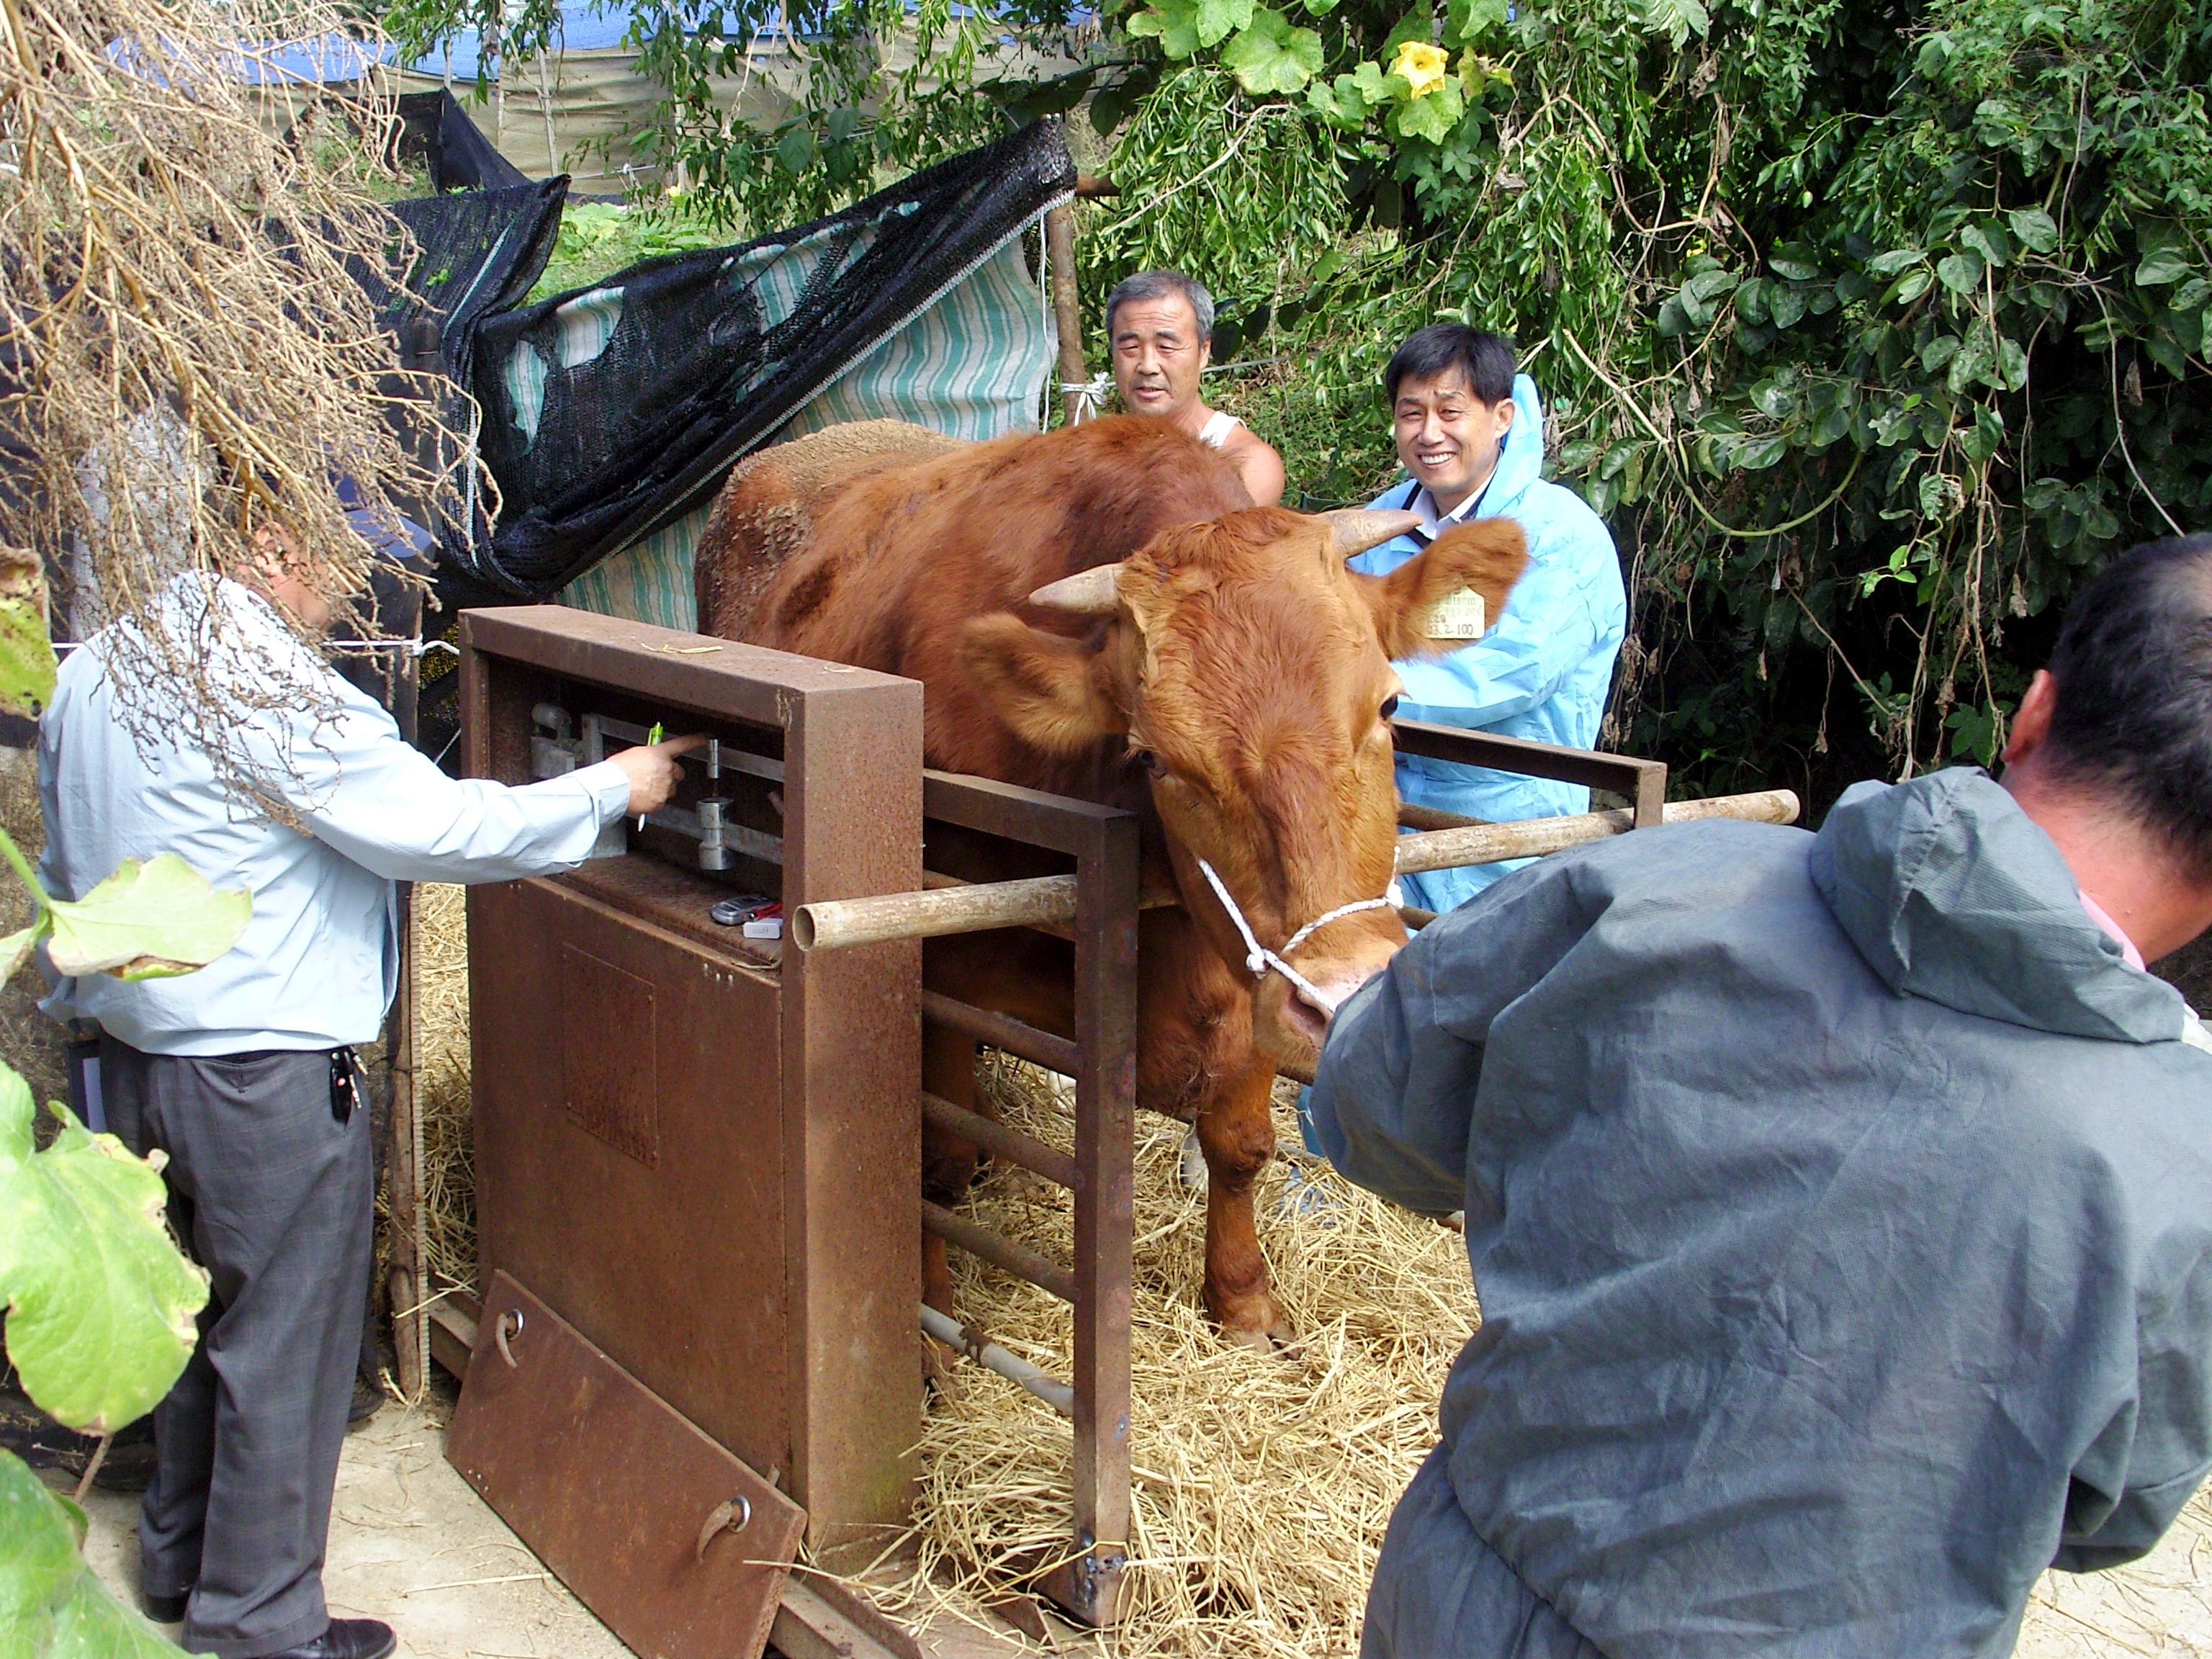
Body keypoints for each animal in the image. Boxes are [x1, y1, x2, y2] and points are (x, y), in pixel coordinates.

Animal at [694, 415, 1521, 1354]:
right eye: (1156, 756)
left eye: (1388, 705)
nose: (1342, 994)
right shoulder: (931, 974)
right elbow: (932, 1168)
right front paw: (931, 1331)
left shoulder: (1252, 973)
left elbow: (1242, 1144)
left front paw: (1245, 1303)